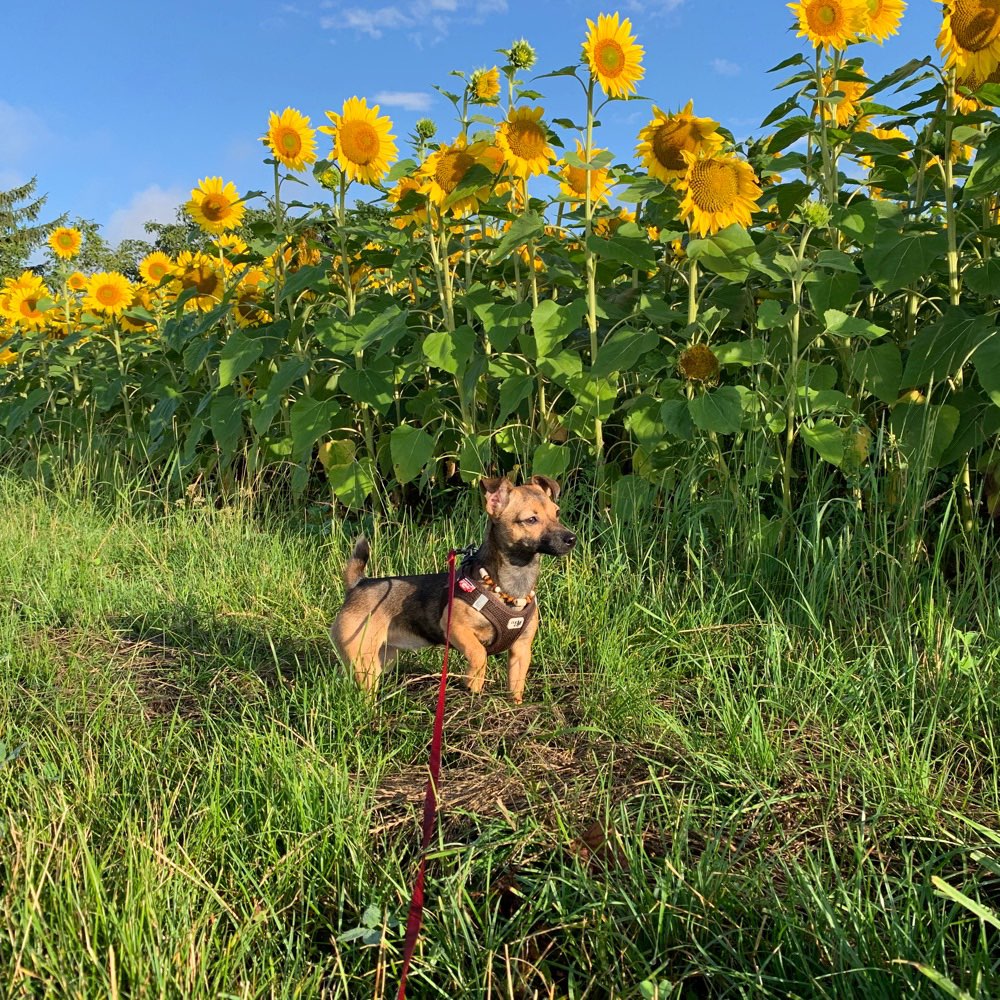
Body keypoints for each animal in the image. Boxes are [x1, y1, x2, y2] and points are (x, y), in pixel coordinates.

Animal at [330, 476, 576, 704]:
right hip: (364, 661)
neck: (511, 586)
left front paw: (515, 705)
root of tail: (357, 584)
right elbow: (479, 654)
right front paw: (473, 686)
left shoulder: (521, 650)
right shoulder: (455, 628)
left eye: (557, 513)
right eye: (531, 520)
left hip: (383, 658)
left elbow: (516, 683)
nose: (571, 538)